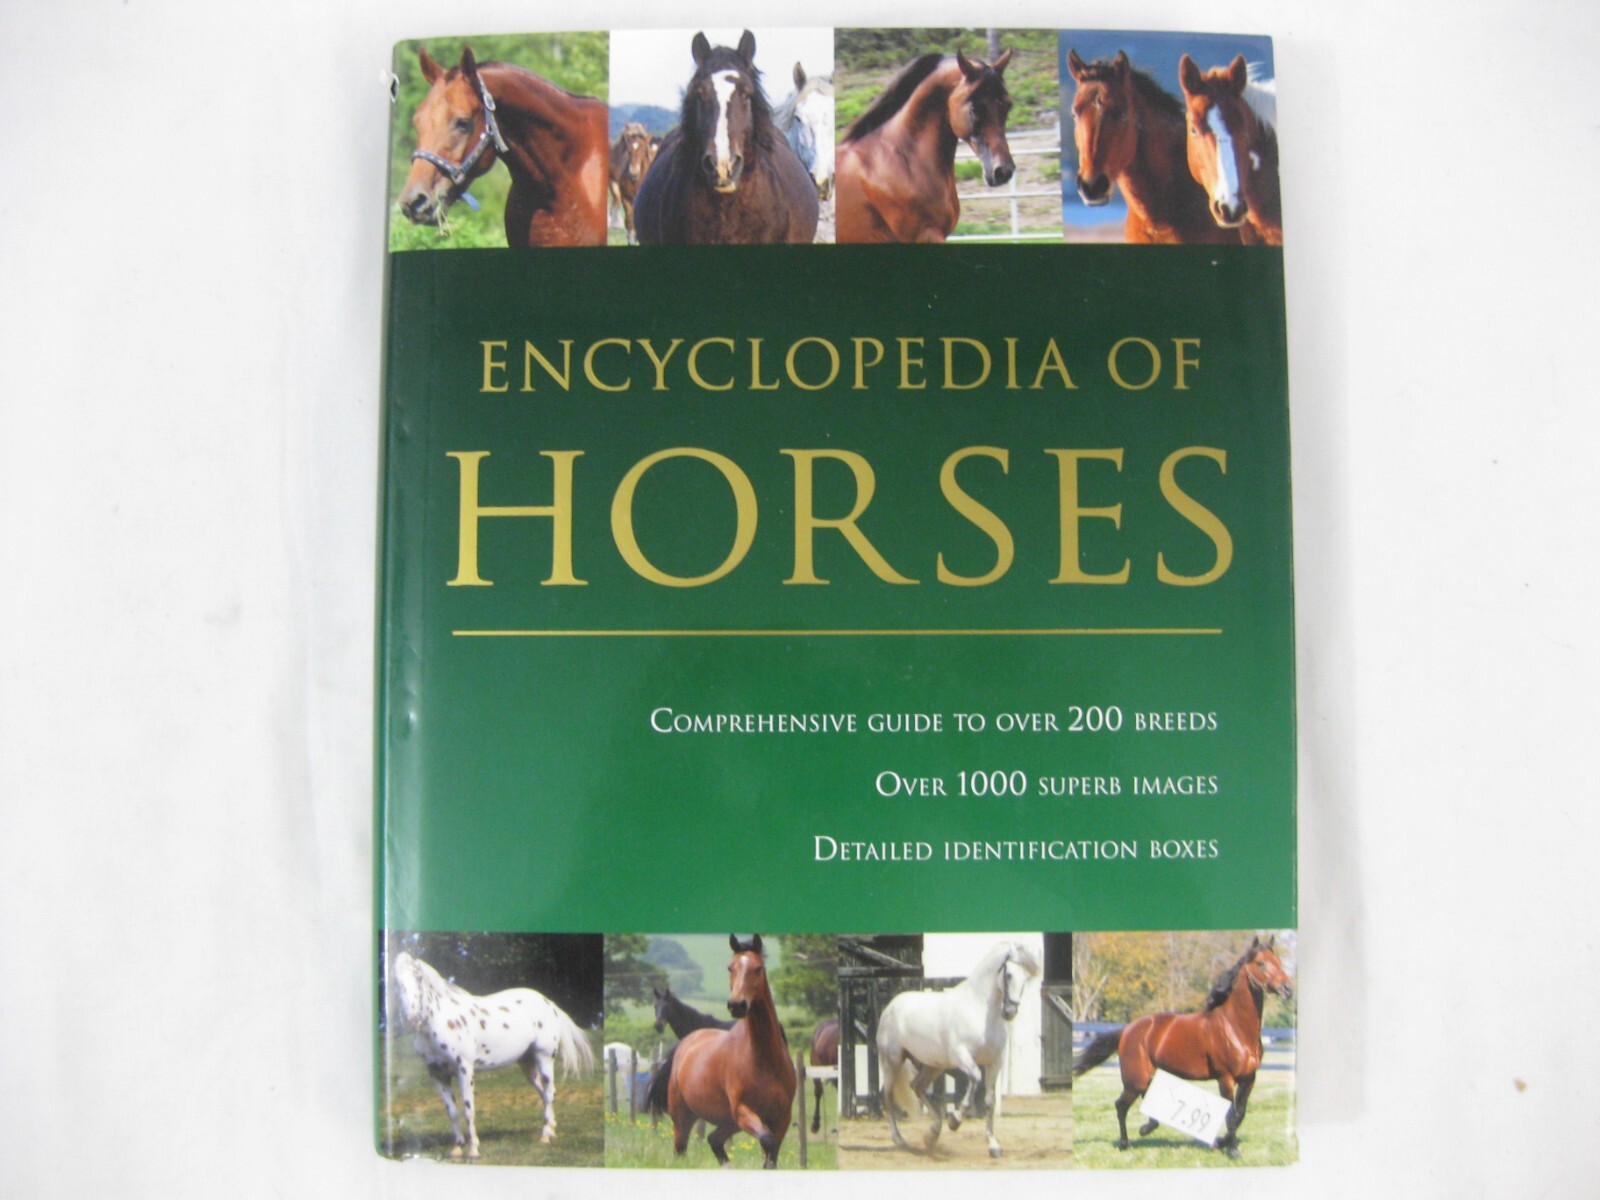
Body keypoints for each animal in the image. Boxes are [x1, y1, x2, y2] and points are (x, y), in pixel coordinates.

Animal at [390, 951, 595, 1158]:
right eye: (397, 982)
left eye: (418, 978)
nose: (413, 1017)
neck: (443, 1023)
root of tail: (549, 1003)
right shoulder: (437, 1074)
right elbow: (452, 1112)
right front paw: (456, 1148)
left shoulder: (464, 1069)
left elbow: (468, 1109)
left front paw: (473, 1150)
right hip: (527, 1064)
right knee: (546, 1093)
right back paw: (551, 1131)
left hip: (544, 1057)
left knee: (549, 1092)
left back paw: (545, 1136)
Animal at [660, 935, 798, 1167]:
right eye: (730, 967)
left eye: (758, 968)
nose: (736, 1005)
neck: (764, 1059)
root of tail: (687, 1042)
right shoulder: (743, 1111)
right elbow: (767, 1142)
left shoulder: (781, 1118)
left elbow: (771, 1155)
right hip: (683, 1119)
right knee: (682, 1149)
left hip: (727, 1122)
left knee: (714, 1139)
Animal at [875, 939, 1040, 1157]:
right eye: (1009, 974)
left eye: (1026, 978)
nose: (1010, 1012)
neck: (980, 1010)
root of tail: (890, 1006)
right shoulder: (962, 1056)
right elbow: (975, 1080)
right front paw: (955, 1121)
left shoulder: (995, 1062)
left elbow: (989, 1101)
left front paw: (993, 1146)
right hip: (892, 1061)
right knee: (888, 1097)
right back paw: (900, 1140)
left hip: (934, 1065)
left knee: (917, 1086)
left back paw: (933, 1134)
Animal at [1072, 935, 1293, 1158]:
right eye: (1261, 963)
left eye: (1279, 962)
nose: (1288, 989)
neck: (1234, 1027)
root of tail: (1127, 1030)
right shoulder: (1226, 1078)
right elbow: (1230, 1115)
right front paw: (1232, 1150)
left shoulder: (1249, 1078)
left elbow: (1240, 1114)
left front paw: (1219, 1143)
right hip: (1135, 1080)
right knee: (1121, 1105)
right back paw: (1125, 1143)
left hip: (1149, 1076)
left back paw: (1145, 1129)